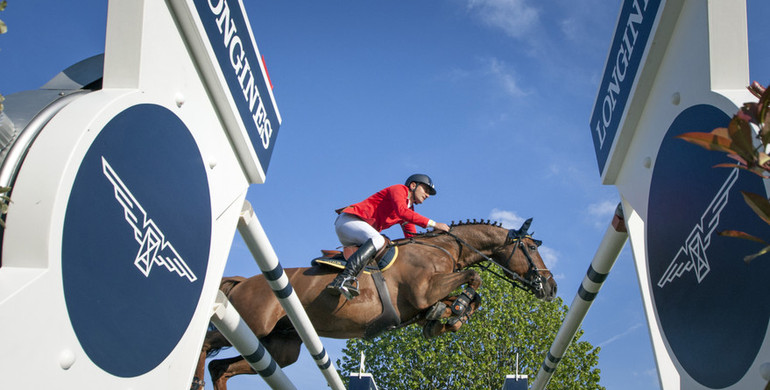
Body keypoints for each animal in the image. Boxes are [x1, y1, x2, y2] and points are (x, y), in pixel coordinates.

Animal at [191, 218, 552, 388]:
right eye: (533, 247)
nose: (551, 286)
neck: (444, 249)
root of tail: (244, 280)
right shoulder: (423, 290)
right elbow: (474, 279)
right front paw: (457, 312)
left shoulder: (425, 299)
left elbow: (465, 294)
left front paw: (449, 316)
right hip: (251, 322)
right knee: (205, 345)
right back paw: (194, 381)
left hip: (280, 347)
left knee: (222, 368)